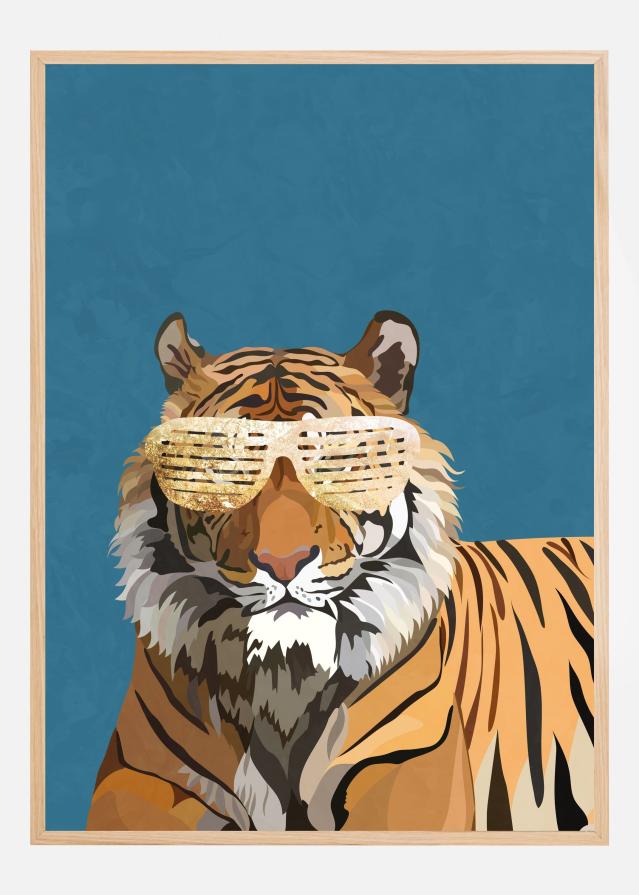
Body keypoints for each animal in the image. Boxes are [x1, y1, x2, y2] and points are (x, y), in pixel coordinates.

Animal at [87, 310, 594, 832]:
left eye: (332, 460)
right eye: (232, 464)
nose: (283, 563)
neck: (284, 680)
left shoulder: (406, 758)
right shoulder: (138, 773)